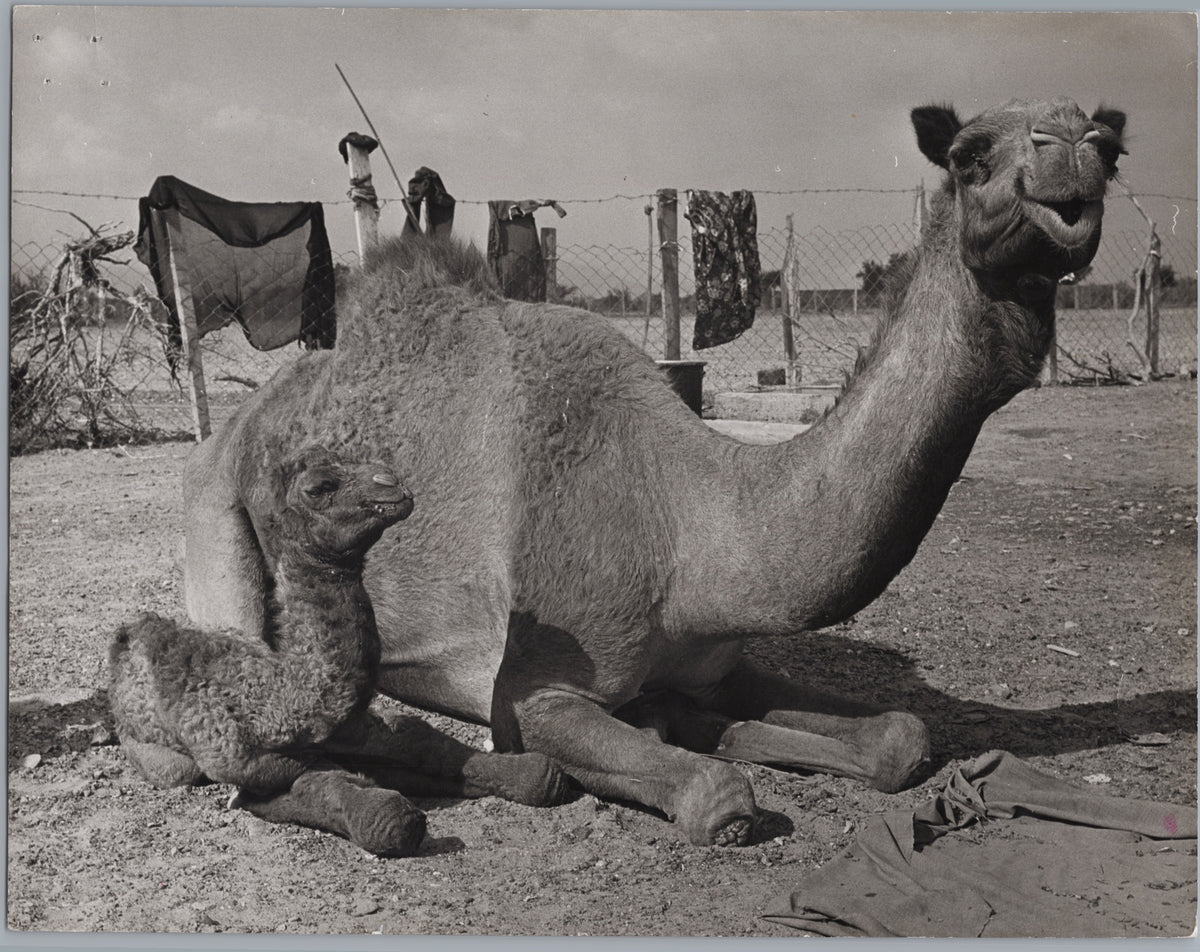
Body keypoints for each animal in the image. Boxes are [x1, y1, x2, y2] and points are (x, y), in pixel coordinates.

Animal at [113, 445, 567, 855]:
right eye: (320, 488)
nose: (391, 482)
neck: (284, 699)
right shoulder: (250, 764)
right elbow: (369, 809)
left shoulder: (363, 729)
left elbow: (428, 744)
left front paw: (532, 772)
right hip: (167, 760)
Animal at [182, 98, 1126, 846]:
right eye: (970, 156)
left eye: (1112, 148)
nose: (1076, 145)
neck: (687, 522)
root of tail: (236, 427)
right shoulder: (537, 691)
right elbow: (715, 794)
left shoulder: (719, 658)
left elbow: (899, 737)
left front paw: (718, 727)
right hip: (218, 538)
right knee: (247, 748)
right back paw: (380, 805)